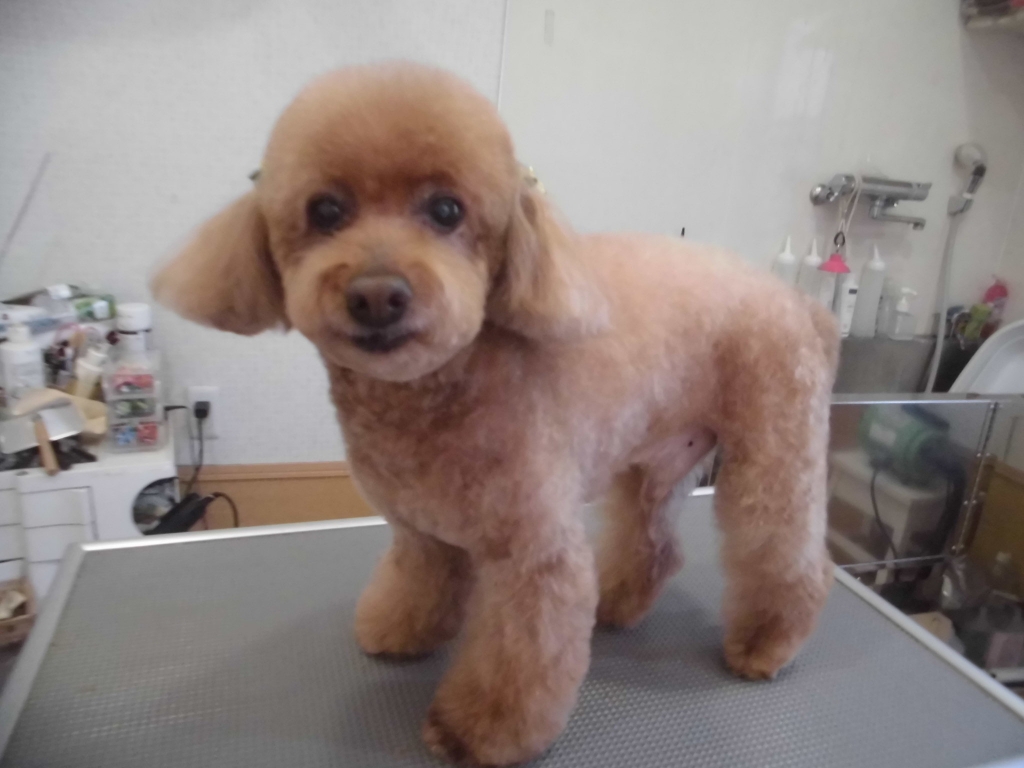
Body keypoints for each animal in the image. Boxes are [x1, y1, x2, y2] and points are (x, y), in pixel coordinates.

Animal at [153, 62, 839, 766]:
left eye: (446, 210)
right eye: (326, 210)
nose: (377, 294)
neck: (437, 389)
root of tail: (795, 301)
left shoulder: (534, 556)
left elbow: (517, 657)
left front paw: (476, 731)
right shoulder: (420, 532)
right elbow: (417, 584)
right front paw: (399, 631)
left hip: (773, 450)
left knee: (786, 554)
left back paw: (765, 643)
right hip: (655, 459)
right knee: (655, 544)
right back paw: (617, 604)